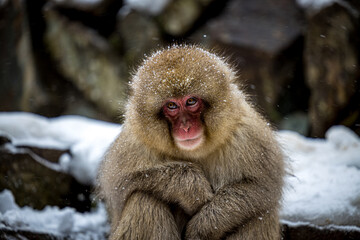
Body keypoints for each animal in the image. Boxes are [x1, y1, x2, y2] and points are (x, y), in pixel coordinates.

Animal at [97, 45, 284, 240]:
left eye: (191, 101)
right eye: (171, 106)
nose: (186, 127)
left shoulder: (247, 133)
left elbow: (262, 188)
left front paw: (203, 227)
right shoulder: (135, 141)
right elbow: (117, 184)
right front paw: (191, 187)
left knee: (259, 214)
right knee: (144, 198)